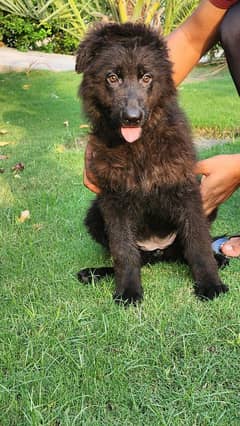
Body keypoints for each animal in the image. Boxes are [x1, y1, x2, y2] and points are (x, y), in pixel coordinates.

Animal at [76, 23, 228, 302]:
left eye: (146, 77)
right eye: (112, 77)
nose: (132, 118)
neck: (138, 146)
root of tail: (158, 251)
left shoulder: (187, 191)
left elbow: (198, 243)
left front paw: (210, 283)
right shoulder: (113, 200)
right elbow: (124, 252)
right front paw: (128, 290)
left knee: (183, 250)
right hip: (94, 214)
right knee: (137, 257)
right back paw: (95, 273)